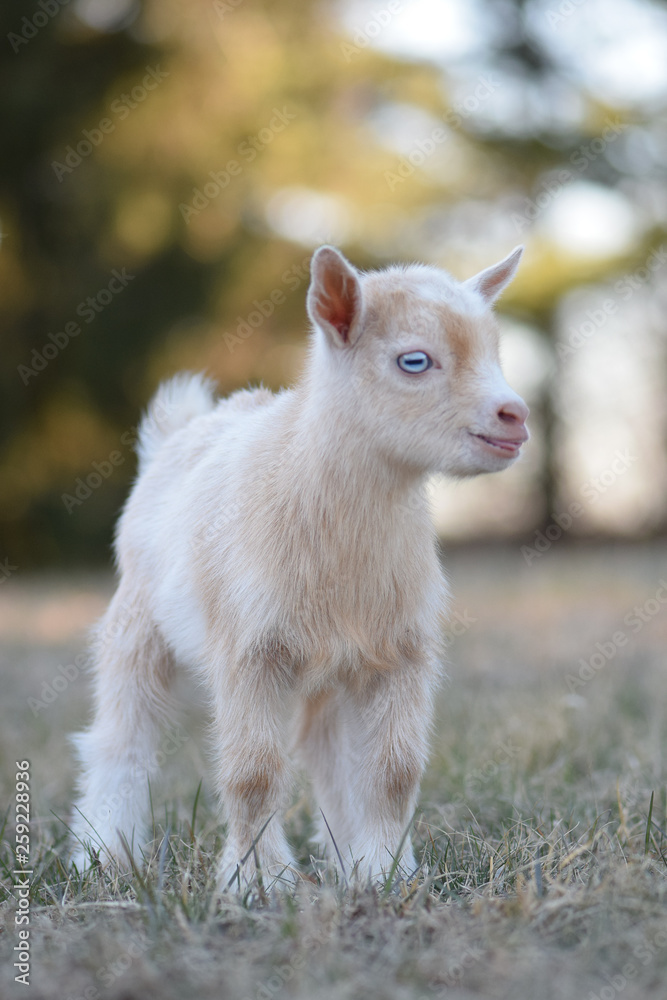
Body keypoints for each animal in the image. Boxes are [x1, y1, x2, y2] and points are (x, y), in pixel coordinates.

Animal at [70, 246, 528, 888]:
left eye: (495, 352)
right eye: (414, 360)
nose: (515, 415)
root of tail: (178, 432)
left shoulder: (402, 647)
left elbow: (393, 771)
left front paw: (385, 874)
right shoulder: (247, 650)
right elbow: (253, 773)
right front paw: (258, 884)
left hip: (331, 664)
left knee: (327, 751)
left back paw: (348, 859)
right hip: (134, 619)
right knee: (121, 737)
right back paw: (103, 854)